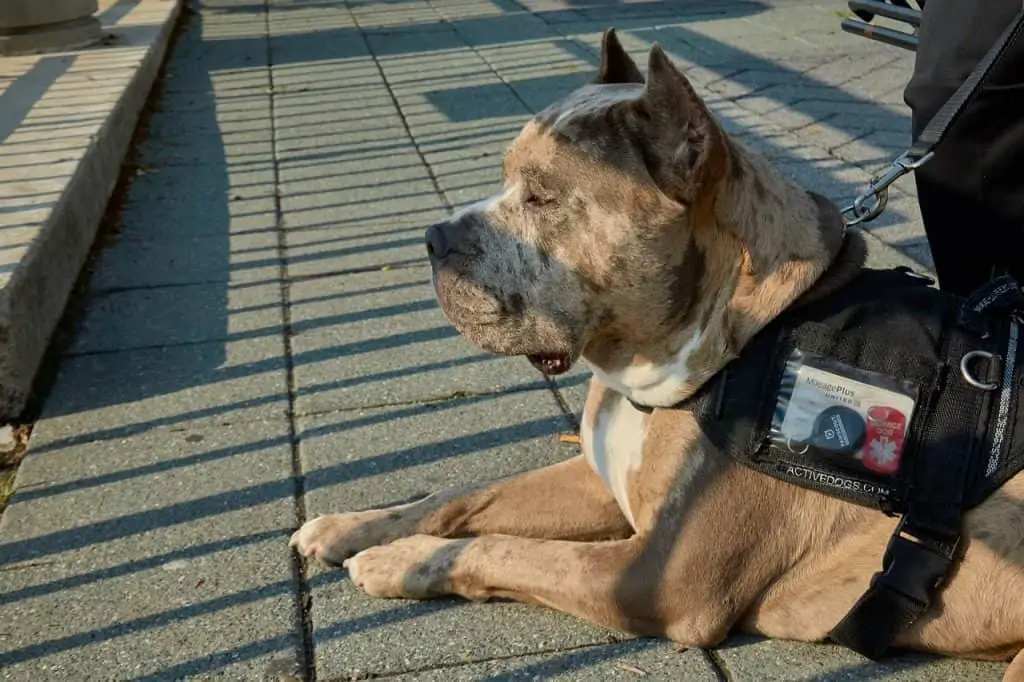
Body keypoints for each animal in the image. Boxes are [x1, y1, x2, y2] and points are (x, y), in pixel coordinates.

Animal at [290, 29, 1024, 675]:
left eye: (542, 196)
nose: (434, 238)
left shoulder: (651, 577)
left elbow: (498, 548)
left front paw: (403, 560)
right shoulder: (597, 480)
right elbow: (462, 494)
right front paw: (355, 526)